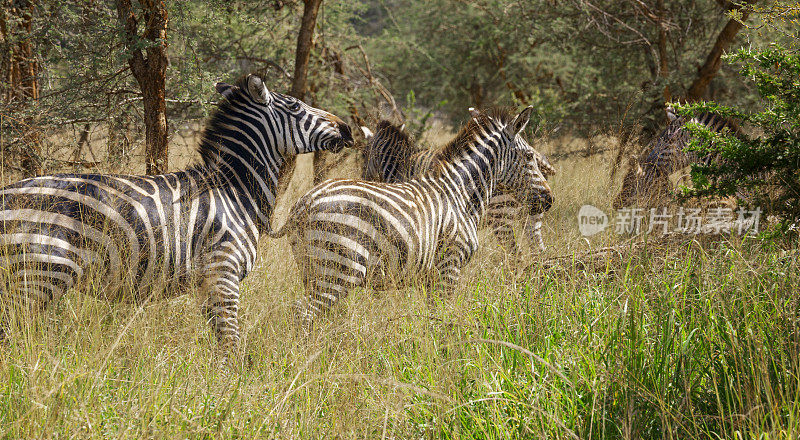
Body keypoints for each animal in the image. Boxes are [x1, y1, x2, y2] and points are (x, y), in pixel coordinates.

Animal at [0, 72, 352, 354]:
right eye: (295, 107)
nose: (348, 128)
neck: (235, 191)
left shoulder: (208, 282)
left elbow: (220, 342)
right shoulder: (224, 272)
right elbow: (231, 343)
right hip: (39, 274)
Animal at [362, 119, 556, 254]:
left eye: (363, 154)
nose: (363, 177)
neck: (400, 165)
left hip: (501, 218)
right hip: (533, 215)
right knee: (539, 252)